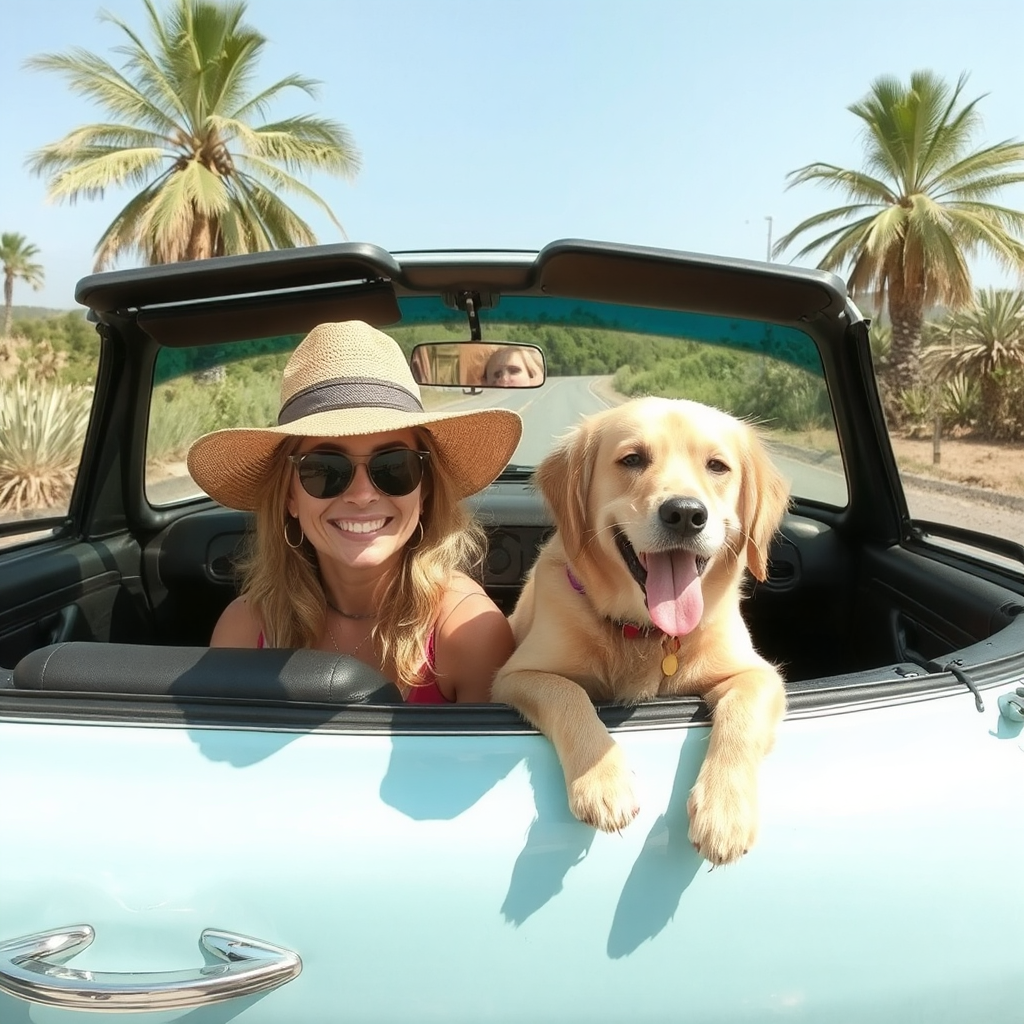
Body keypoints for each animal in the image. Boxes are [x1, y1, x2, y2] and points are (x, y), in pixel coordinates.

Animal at [493, 395, 790, 860]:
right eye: (632, 459)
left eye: (717, 466)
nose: (685, 513)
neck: (644, 631)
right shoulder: (515, 675)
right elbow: (568, 693)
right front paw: (603, 779)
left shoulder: (758, 674)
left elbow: (743, 712)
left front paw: (726, 810)